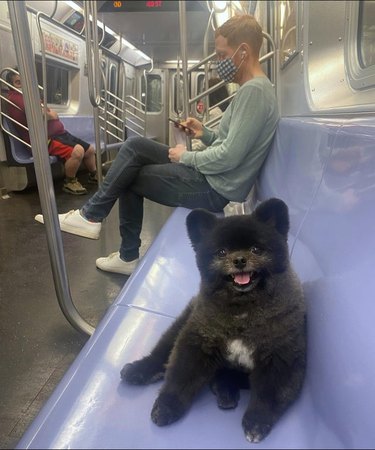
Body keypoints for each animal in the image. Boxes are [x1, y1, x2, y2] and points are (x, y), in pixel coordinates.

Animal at [122, 198, 306, 442]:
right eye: (221, 252)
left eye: (256, 249)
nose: (239, 259)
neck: (242, 310)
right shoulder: (197, 342)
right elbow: (180, 377)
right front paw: (167, 406)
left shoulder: (280, 357)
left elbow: (269, 395)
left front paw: (257, 421)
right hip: (183, 322)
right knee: (161, 354)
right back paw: (139, 370)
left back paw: (225, 391)